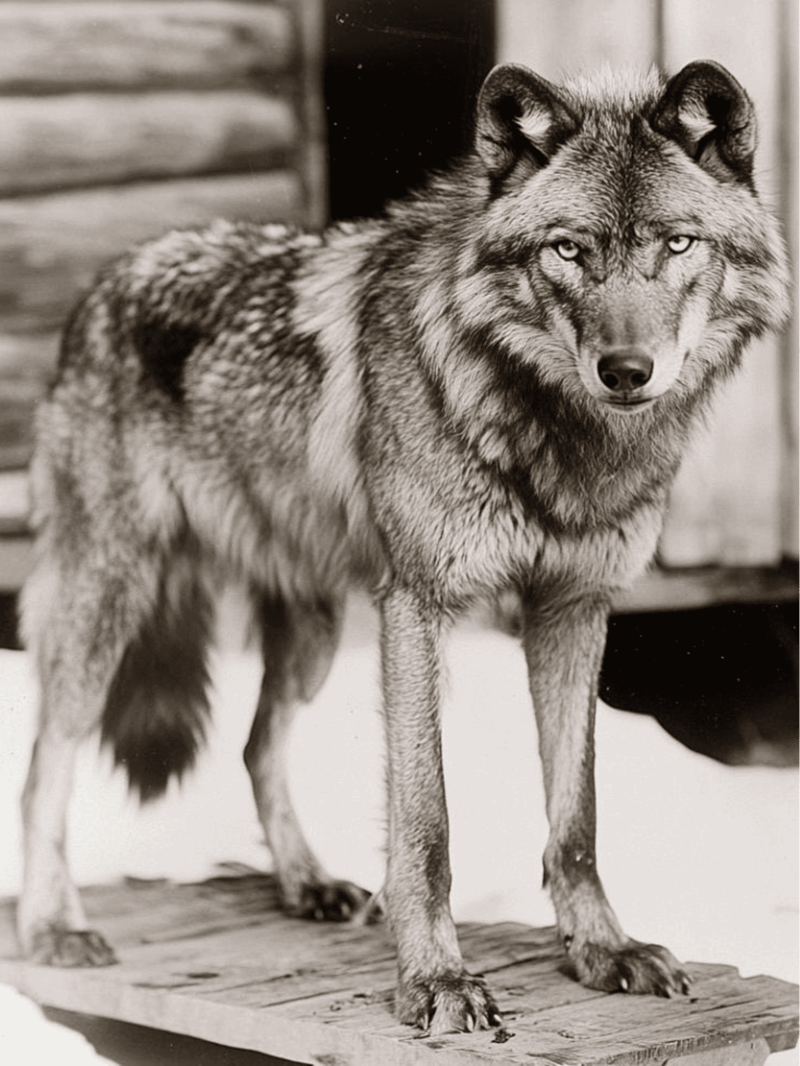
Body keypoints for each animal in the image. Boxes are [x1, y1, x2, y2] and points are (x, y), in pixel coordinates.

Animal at [18, 60, 789, 1034]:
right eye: (567, 251)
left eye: (681, 243)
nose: (626, 371)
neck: (550, 433)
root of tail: (109, 274)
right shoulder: (418, 606)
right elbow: (426, 822)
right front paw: (436, 979)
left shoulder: (572, 609)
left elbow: (576, 818)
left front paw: (602, 951)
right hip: (108, 604)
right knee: (44, 768)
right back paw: (53, 927)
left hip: (309, 635)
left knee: (256, 745)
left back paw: (306, 885)